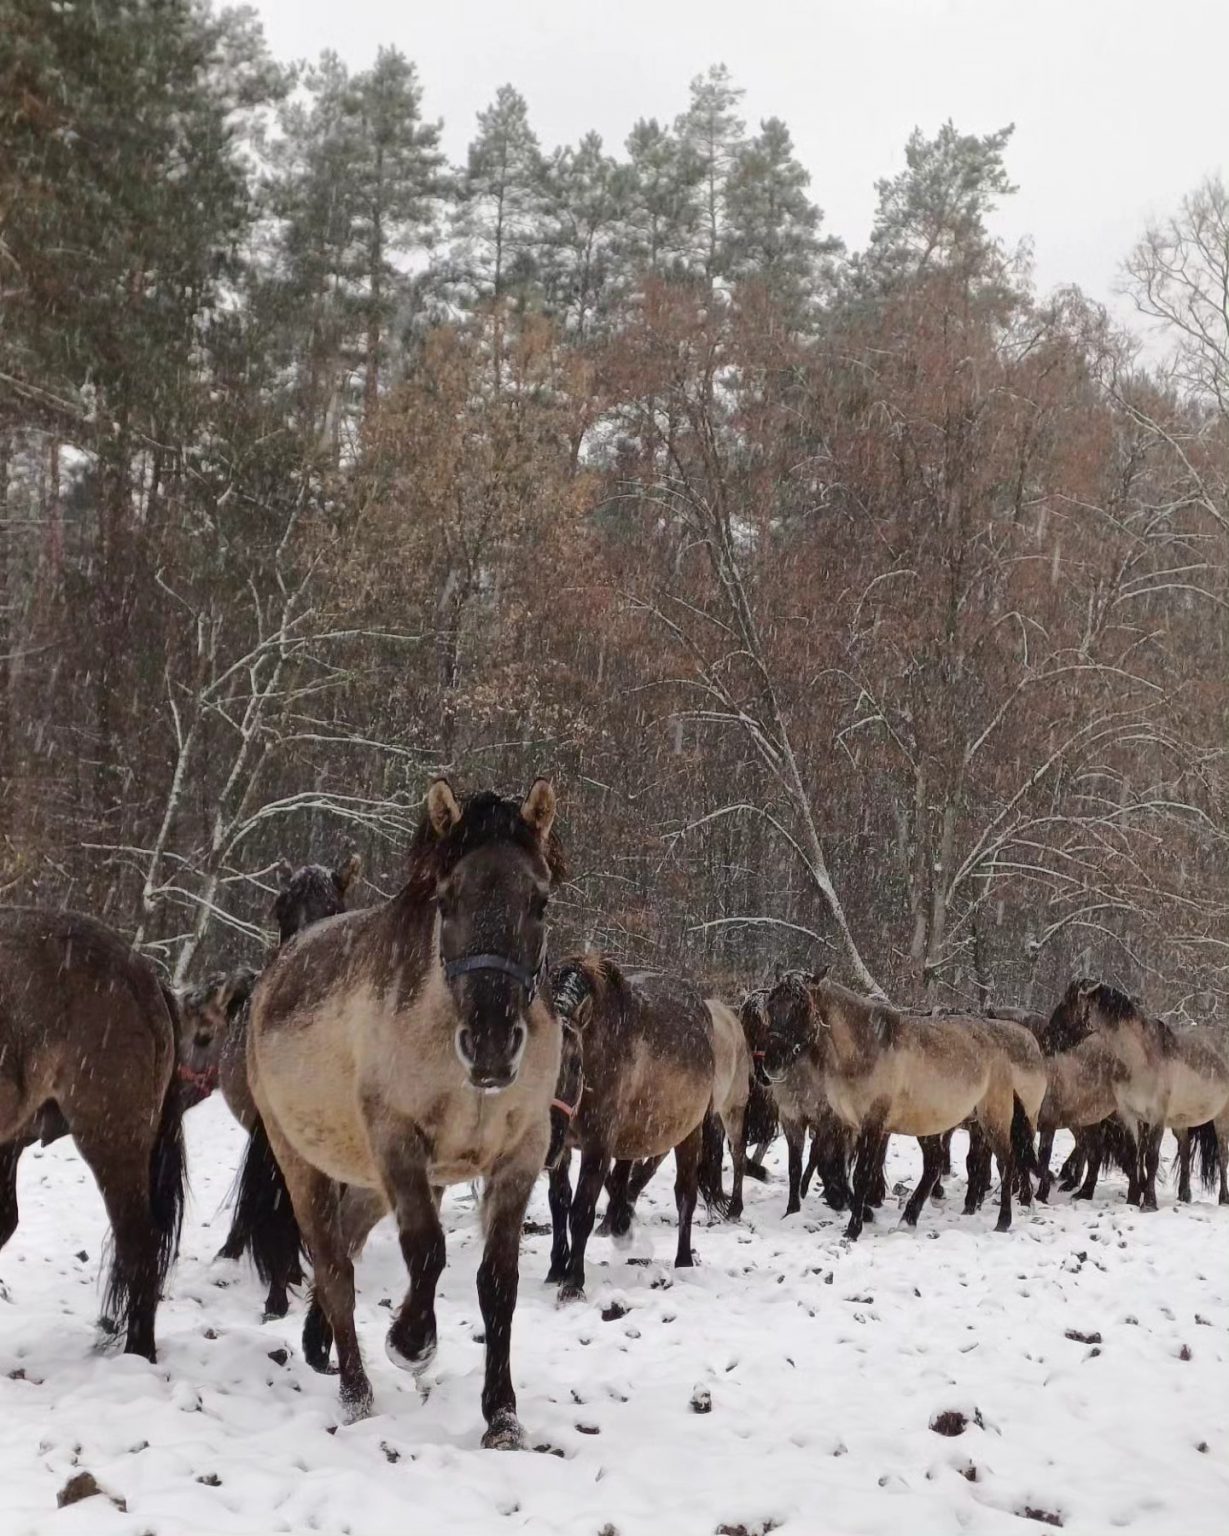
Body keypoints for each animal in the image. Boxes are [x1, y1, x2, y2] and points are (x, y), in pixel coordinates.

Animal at [241, 786, 565, 1443]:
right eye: (447, 899)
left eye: (540, 902)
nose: (492, 1044)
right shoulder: (399, 1142)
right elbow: (426, 1248)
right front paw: (411, 1342)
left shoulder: (521, 1153)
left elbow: (499, 1282)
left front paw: (503, 1417)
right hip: (303, 1163)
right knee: (334, 1266)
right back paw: (355, 1393)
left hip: (367, 1179)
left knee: (347, 1240)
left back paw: (317, 1344)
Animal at [543, 958, 709, 1296]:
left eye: (575, 1064)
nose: (546, 1144)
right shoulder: (564, 1148)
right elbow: (559, 1203)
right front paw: (556, 1269)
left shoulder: (597, 1146)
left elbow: (581, 1211)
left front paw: (573, 1282)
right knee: (622, 1182)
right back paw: (620, 1225)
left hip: (689, 1132)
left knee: (685, 1194)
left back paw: (683, 1261)